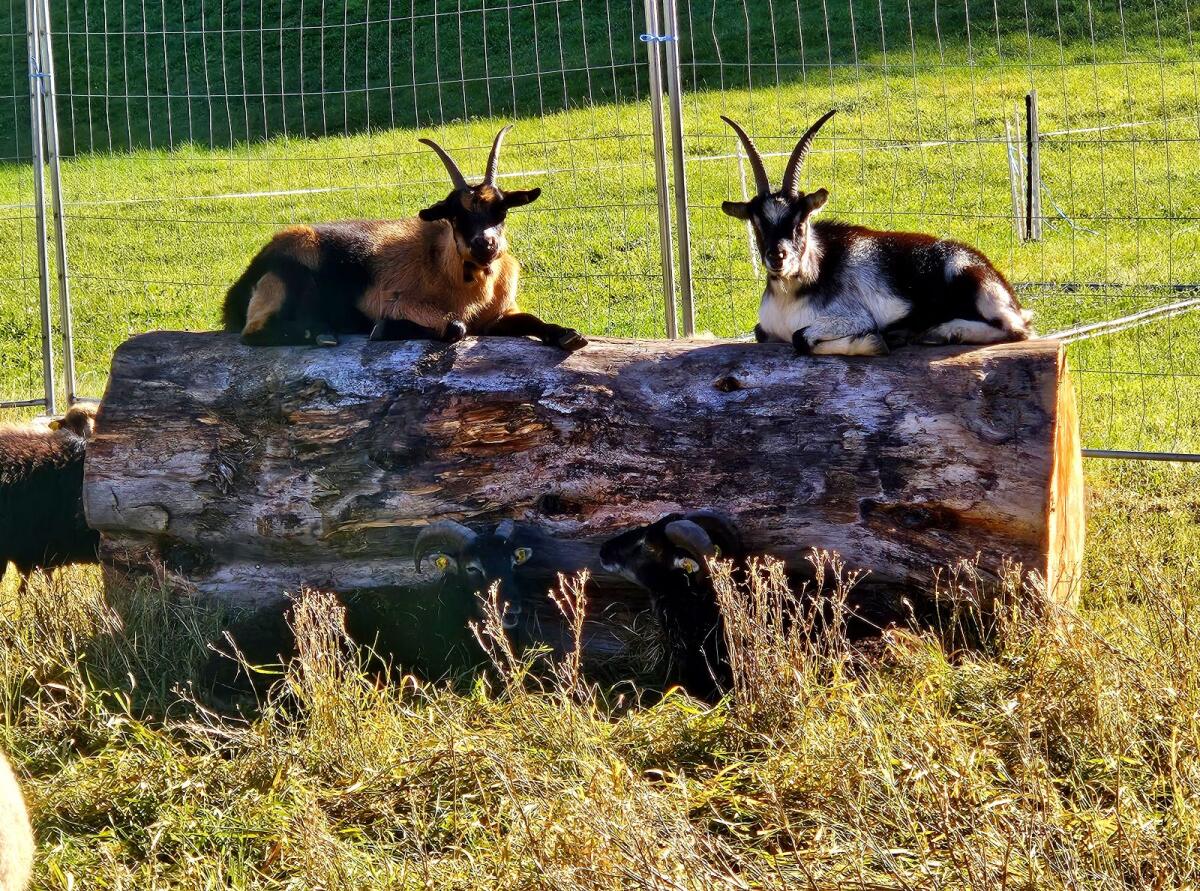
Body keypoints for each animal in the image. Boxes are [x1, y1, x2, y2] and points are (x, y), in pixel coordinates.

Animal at [222, 126, 586, 352]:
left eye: (502, 210)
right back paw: (321, 333)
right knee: (252, 332)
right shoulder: (397, 300)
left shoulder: (498, 315)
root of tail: (238, 287)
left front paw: (570, 336)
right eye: (454, 214)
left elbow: (531, 319)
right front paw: (383, 329)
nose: (485, 245)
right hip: (290, 272)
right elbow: (456, 327)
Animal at [720, 111, 1032, 356]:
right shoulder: (767, 329)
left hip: (969, 277)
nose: (777, 258)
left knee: (1017, 328)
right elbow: (760, 332)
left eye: (800, 223)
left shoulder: (854, 316)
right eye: (757, 225)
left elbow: (801, 337)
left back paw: (939, 332)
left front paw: (873, 343)